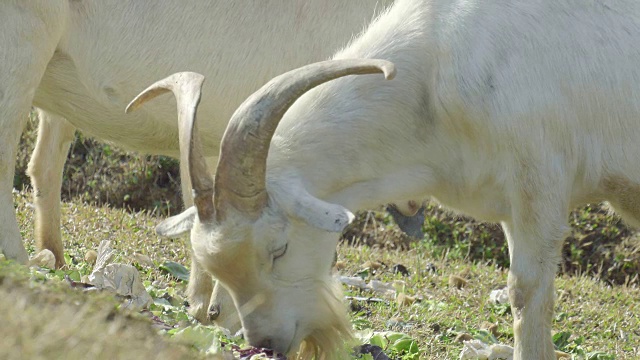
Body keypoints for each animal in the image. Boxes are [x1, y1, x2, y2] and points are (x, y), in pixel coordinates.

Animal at [127, 0, 640, 358]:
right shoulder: (511, 204)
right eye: (215, 268)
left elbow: (525, 292)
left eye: (280, 249)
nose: (267, 343)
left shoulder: (540, 182)